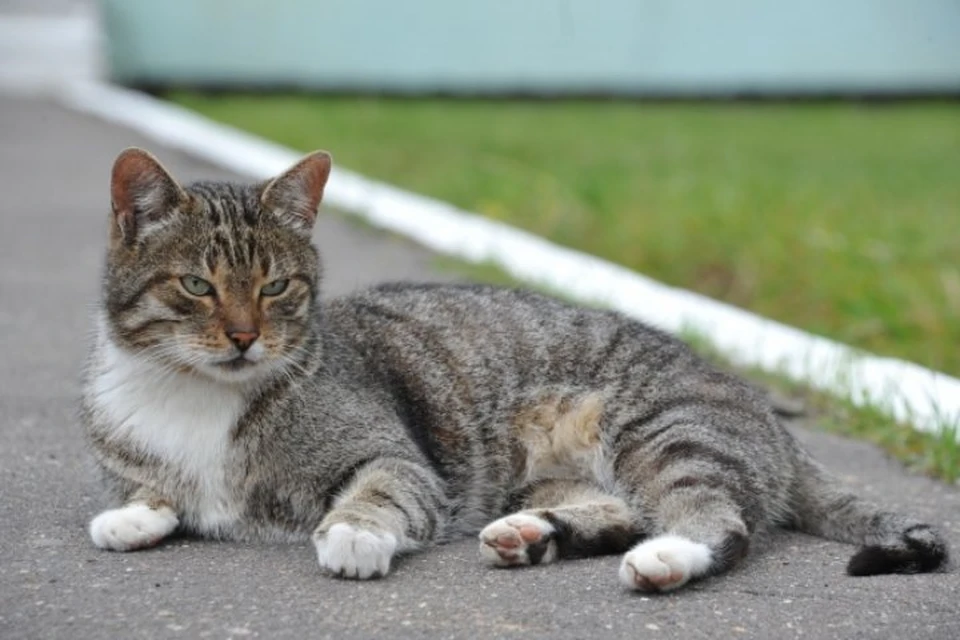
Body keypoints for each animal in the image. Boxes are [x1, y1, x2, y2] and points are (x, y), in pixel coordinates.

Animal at [80, 146, 944, 592]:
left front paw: (354, 533)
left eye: (275, 286)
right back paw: (535, 537)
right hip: (552, 474)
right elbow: (149, 490)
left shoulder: (395, 458)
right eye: (198, 286)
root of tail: (763, 410)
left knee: (714, 520)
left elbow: (376, 493)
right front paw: (135, 513)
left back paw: (665, 558)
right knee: (624, 509)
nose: (243, 337)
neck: (196, 394)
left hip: (663, 433)